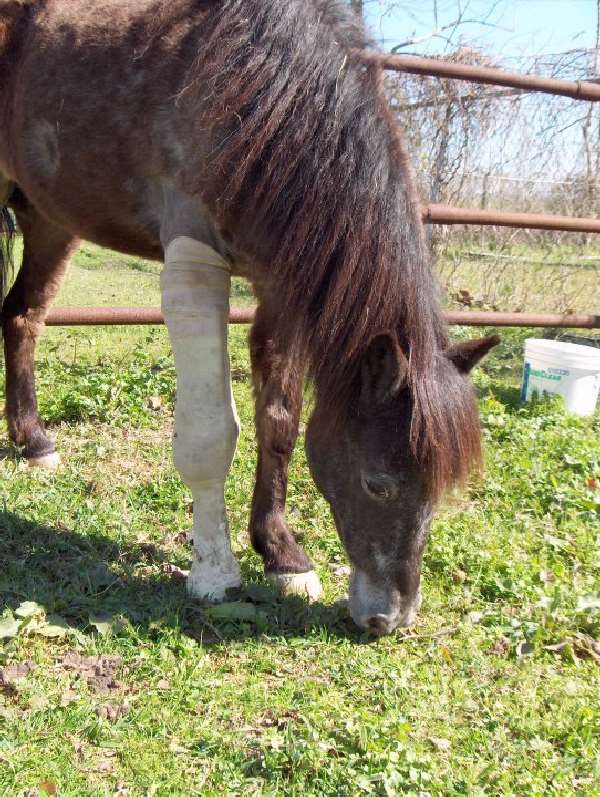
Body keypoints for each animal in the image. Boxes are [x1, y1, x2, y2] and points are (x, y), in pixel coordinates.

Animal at [0, 0, 496, 636]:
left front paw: (283, 555)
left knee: (23, 318)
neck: (255, 87)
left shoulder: (281, 283)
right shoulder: (193, 265)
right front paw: (213, 572)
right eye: (377, 484)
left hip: (50, 217)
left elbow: (280, 422)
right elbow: (213, 433)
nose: (390, 618)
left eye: (442, 488)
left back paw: (33, 441)